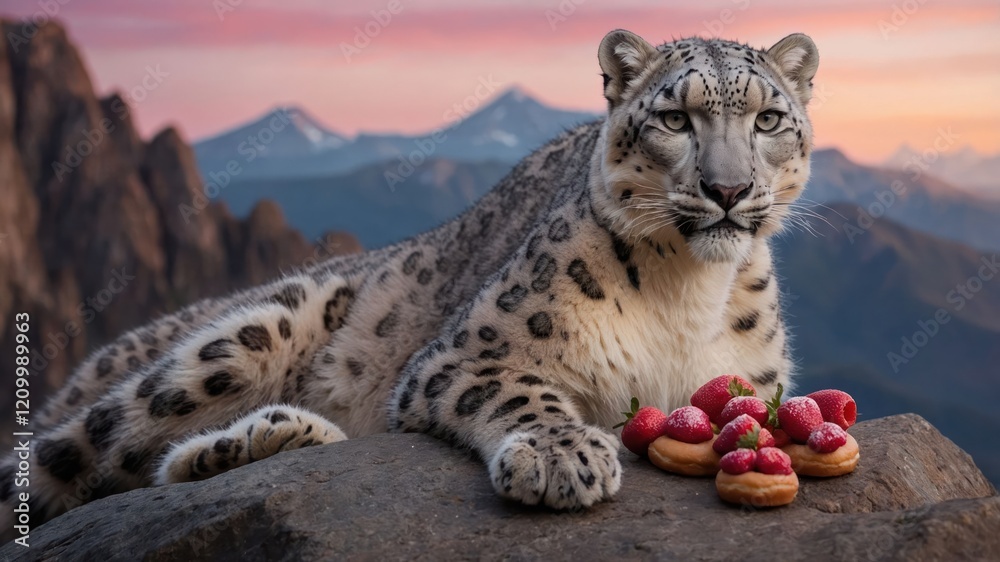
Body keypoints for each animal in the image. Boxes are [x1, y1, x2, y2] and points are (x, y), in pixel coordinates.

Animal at [0, 29, 818, 537]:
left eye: (769, 118)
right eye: (675, 119)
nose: (727, 190)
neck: (689, 291)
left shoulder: (753, 382)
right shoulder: (468, 351)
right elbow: (521, 390)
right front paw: (562, 455)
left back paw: (274, 435)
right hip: (239, 338)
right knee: (73, 462)